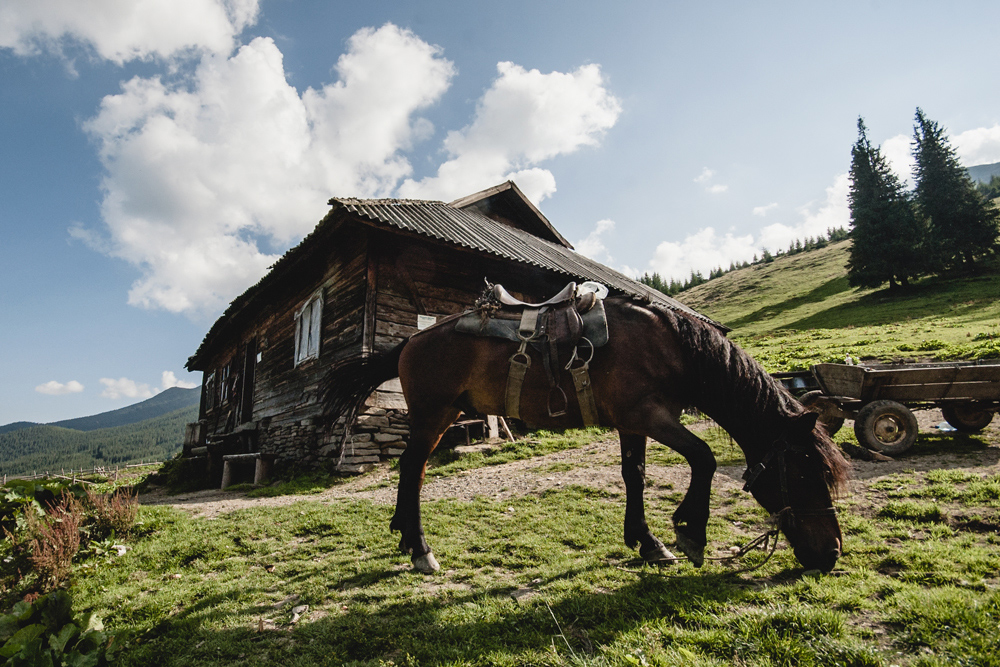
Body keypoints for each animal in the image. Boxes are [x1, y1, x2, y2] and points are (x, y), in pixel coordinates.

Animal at [324, 296, 848, 576]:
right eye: (805, 474)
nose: (832, 554)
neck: (669, 348)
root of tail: (411, 340)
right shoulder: (651, 416)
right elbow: (704, 458)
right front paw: (690, 533)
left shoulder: (633, 423)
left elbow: (635, 475)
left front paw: (648, 542)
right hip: (434, 415)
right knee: (413, 469)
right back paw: (420, 549)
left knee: (410, 469)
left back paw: (403, 535)